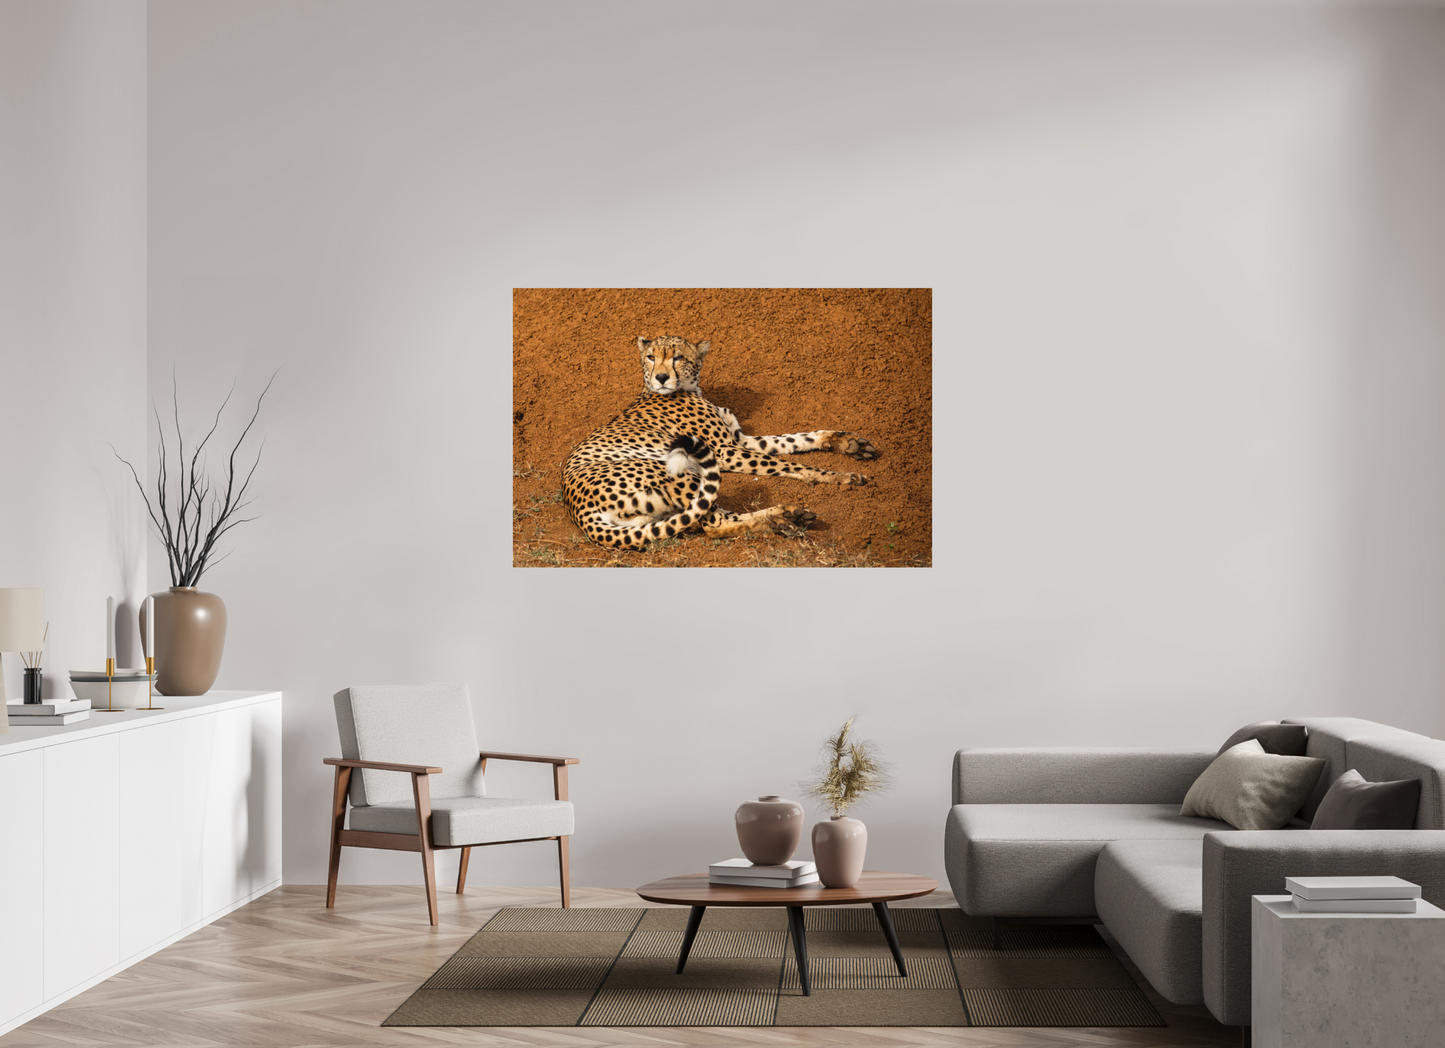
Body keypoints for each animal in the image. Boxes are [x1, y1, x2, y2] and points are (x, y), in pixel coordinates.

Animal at [562, 335, 878, 550]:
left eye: (677, 358)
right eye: (651, 357)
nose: (661, 377)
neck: (689, 388)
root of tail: (577, 510)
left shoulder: (740, 440)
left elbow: (792, 440)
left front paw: (846, 442)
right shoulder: (724, 451)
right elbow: (787, 463)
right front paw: (838, 476)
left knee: (709, 518)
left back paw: (785, 518)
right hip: (675, 472)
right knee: (714, 523)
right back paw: (781, 518)